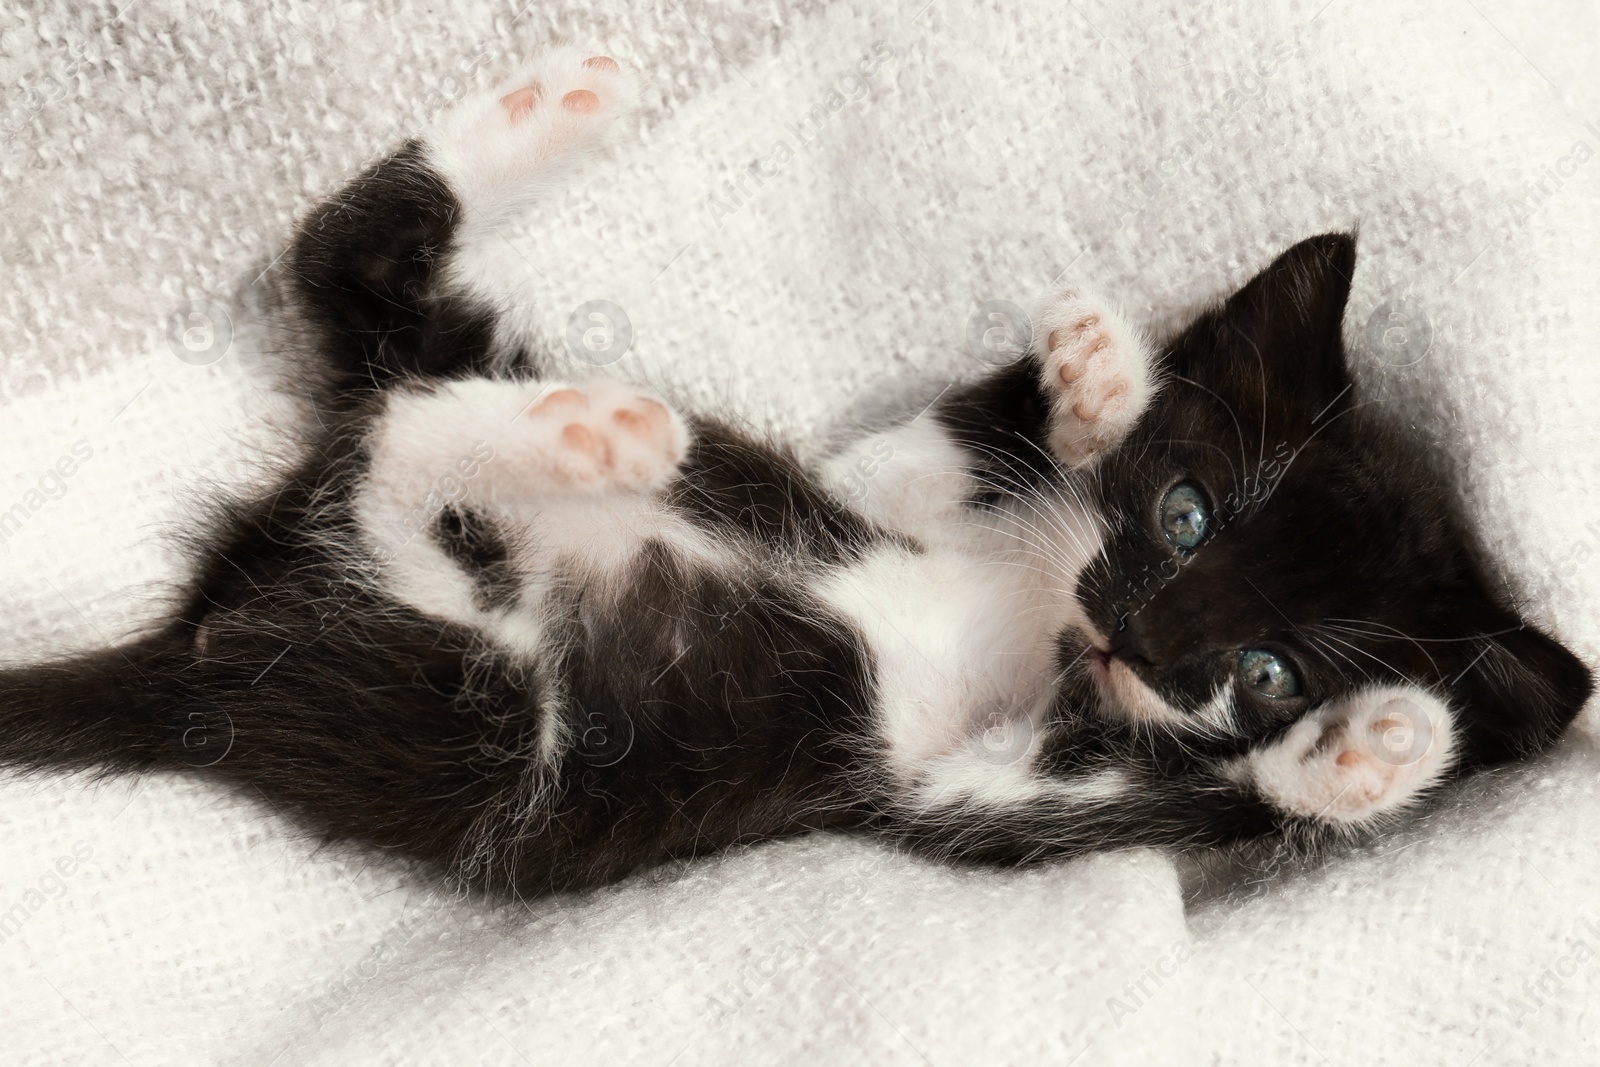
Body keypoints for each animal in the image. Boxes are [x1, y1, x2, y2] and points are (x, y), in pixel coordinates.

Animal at [0, 54, 1587, 895]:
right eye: (1187, 513)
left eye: (1269, 671)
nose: (1137, 636)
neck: (1045, 616)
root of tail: (199, 632)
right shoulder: (865, 490)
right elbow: (918, 459)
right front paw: (1094, 380)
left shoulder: (943, 796)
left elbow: (1125, 793)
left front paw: (1375, 751)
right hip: (440, 621)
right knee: (353, 296)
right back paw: (557, 176)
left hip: (476, 723)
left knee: (387, 438)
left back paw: (577, 423)